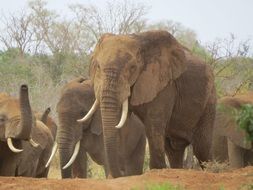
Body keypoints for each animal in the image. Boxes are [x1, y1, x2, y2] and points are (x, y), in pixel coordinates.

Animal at [78, 29, 216, 177]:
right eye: (98, 67)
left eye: (132, 68)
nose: (121, 172)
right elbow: (122, 124)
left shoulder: (164, 84)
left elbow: (153, 125)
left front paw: (156, 171)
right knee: (173, 149)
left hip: (209, 100)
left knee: (202, 148)